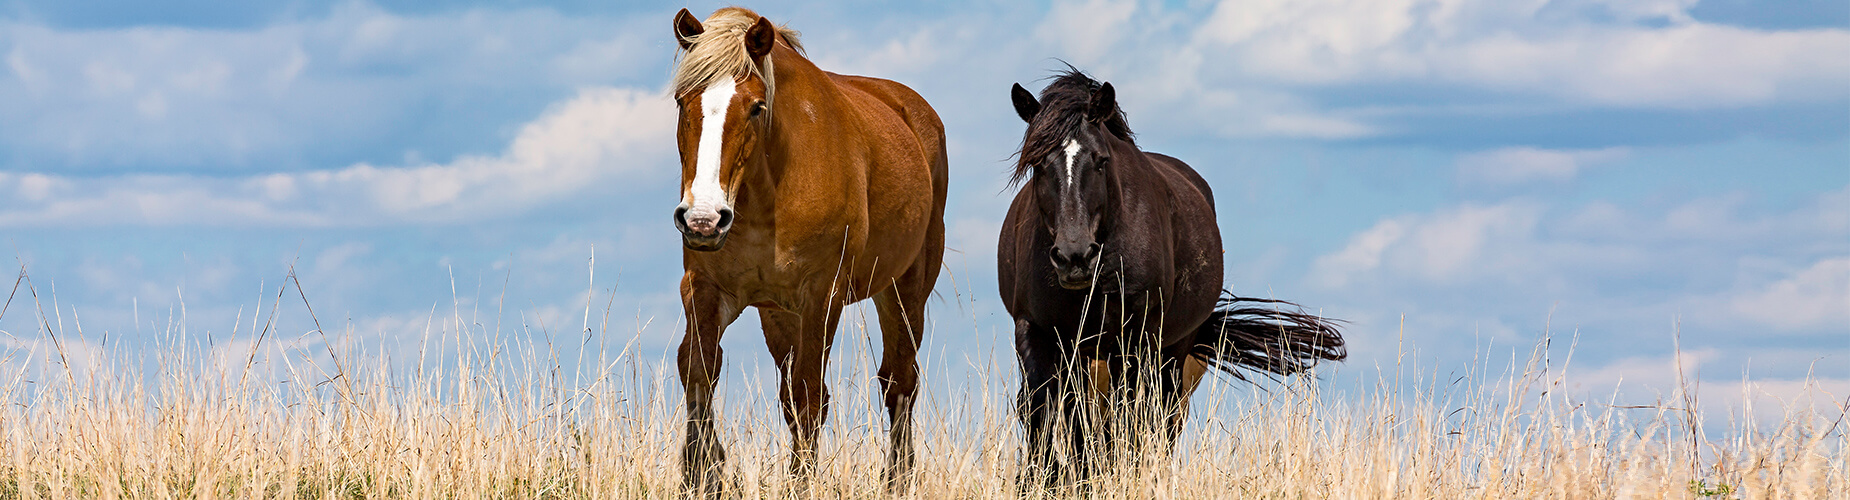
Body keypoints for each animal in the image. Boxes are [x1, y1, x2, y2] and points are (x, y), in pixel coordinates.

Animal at [666, 6, 947, 492]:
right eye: (685, 102)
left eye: (756, 107)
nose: (703, 218)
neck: (768, 190)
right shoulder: (706, 289)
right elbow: (700, 373)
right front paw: (704, 474)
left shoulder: (821, 295)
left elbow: (809, 394)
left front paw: (802, 481)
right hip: (779, 314)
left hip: (905, 288)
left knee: (899, 382)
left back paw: (896, 479)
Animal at [1006, 68, 1354, 485]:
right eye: (1038, 164)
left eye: (1101, 160)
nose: (1075, 255)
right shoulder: (1038, 333)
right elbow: (1044, 413)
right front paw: (1045, 480)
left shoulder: (1135, 339)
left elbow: (1126, 420)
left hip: (1169, 351)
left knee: (1156, 418)